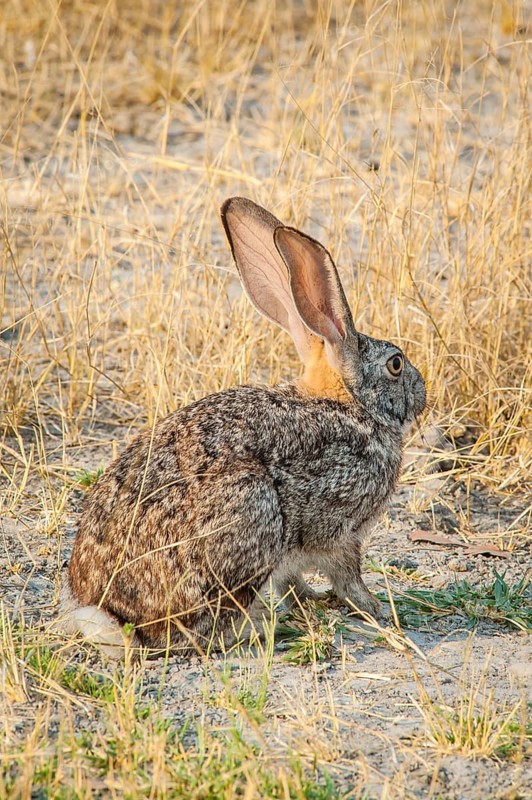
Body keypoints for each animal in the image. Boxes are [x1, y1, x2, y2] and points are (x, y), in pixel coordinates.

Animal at [61, 197, 426, 656]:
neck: (351, 405)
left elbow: (292, 581)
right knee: (196, 633)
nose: (423, 391)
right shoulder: (340, 530)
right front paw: (374, 608)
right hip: (252, 509)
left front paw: (310, 600)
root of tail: (111, 610)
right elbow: (348, 577)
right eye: (395, 365)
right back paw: (260, 629)